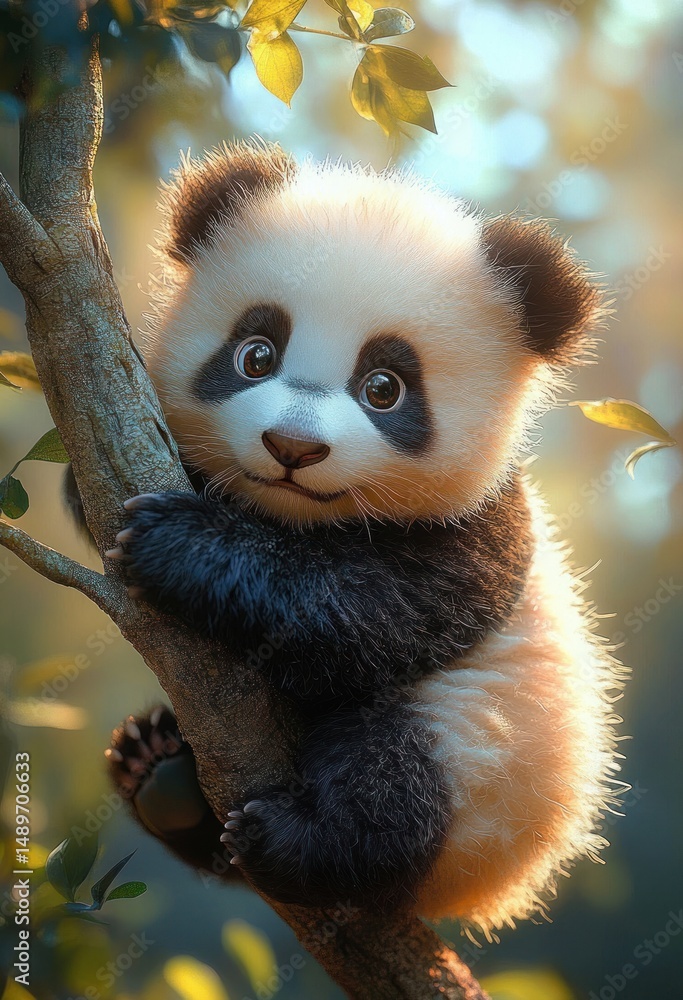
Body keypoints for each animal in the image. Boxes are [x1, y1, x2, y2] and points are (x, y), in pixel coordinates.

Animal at [76, 140, 625, 936]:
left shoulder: (481, 529)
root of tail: (480, 893)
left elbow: (363, 614)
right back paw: (159, 771)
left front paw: (174, 544)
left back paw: (293, 839)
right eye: (256, 354)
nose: (292, 447)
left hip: (478, 757)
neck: (299, 517)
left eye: (384, 387)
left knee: (390, 774)